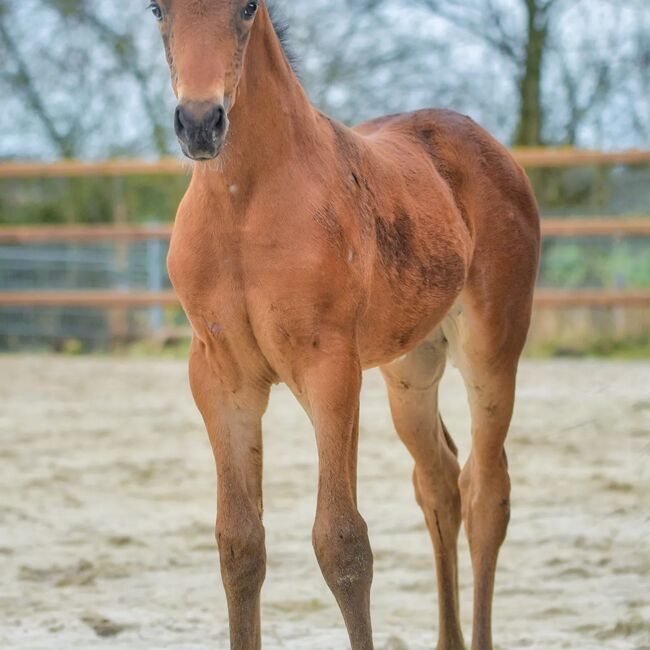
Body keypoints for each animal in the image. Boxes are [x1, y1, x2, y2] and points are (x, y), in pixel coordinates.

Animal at [149, 2, 540, 644]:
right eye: (158, 10)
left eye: (247, 9)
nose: (201, 124)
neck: (243, 204)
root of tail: (489, 145)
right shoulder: (221, 380)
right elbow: (239, 544)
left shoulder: (329, 370)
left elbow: (342, 543)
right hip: (411, 368)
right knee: (439, 481)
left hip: (491, 352)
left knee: (487, 493)